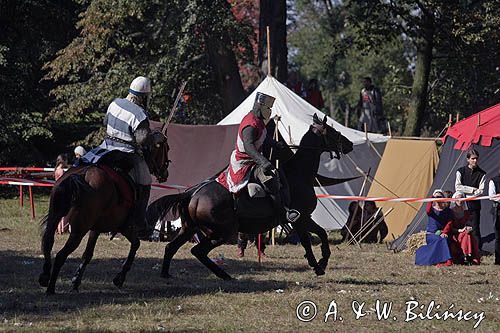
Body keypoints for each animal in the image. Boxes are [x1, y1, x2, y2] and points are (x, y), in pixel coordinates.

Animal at [37, 130, 170, 294]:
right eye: (165, 148)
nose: (165, 173)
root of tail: (80, 175)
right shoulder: (125, 227)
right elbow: (136, 244)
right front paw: (120, 277)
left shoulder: (96, 228)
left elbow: (87, 254)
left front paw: (76, 281)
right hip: (79, 231)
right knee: (61, 255)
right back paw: (50, 288)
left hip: (56, 217)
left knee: (48, 242)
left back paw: (45, 276)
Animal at [148, 113, 356, 278]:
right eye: (332, 131)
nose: (350, 144)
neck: (299, 173)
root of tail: (192, 194)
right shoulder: (301, 218)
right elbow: (310, 239)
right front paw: (318, 265)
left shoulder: (305, 218)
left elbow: (321, 234)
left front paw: (321, 262)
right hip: (222, 232)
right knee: (198, 251)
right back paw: (224, 275)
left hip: (189, 229)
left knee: (171, 247)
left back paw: (167, 274)